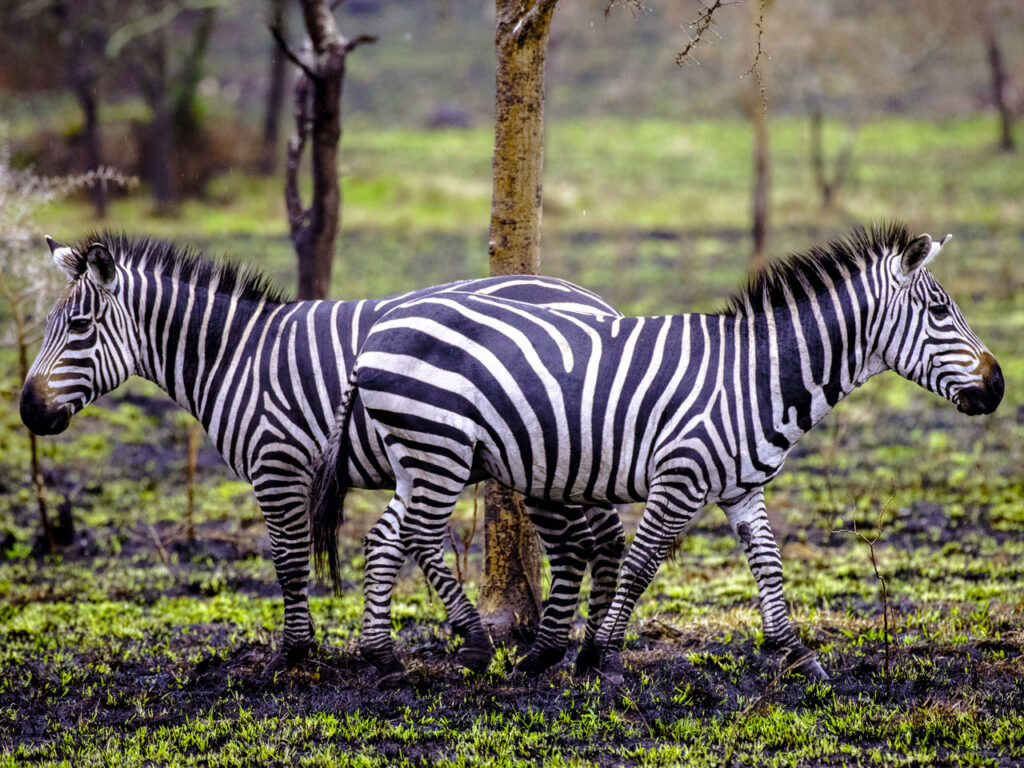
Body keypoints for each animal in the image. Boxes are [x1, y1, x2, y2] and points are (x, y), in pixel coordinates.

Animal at [22, 231, 622, 675]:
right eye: (49, 325)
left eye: (79, 326)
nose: (28, 411)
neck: (237, 357)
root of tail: (594, 300)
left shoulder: (277, 465)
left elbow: (288, 562)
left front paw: (291, 655)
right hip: (583, 454)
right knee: (606, 538)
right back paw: (595, 651)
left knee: (579, 543)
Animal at [309, 224, 999, 684]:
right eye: (940, 310)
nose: (996, 387)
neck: (754, 376)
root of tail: (377, 329)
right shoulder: (681, 477)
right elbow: (642, 566)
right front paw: (600, 656)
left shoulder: (742, 488)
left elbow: (769, 565)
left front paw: (799, 656)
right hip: (439, 447)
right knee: (421, 536)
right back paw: (475, 647)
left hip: (419, 455)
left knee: (385, 537)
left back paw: (383, 658)